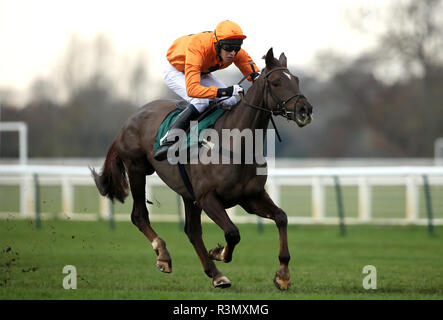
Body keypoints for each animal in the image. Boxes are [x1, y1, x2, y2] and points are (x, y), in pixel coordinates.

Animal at [90, 48, 314, 290]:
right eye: (276, 82)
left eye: (296, 80)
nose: (305, 109)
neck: (236, 143)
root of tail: (128, 120)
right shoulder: (207, 197)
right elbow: (232, 233)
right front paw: (219, 252)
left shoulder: (250, 197)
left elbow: (281, 218)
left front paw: (283, 274)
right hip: (136, 169)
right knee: (139, 215)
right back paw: (164, 255)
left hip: (188, 193)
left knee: (192, 232)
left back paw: (216, 274)